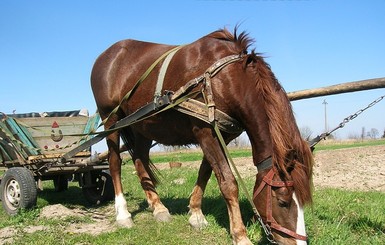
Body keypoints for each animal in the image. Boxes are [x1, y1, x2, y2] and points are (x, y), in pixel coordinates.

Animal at [91, 27, 314, 244]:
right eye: (283, 202)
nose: (299, 243)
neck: (223, 79)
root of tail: (107, 55)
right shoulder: (205, 132)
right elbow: (228, 183)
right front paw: (240, 235)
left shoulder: (221, 135)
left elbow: (205, 171)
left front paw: (196, 213)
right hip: (111, 120)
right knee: (115, 162)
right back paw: (123, 213)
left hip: (142, 126)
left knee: (140, 159)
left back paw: (158, 207)